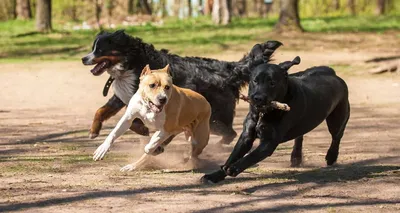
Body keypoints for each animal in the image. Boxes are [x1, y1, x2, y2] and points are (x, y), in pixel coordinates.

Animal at [81, 29, 282, 145]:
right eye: (93, 48)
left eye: (100, 50)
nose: (84, 58)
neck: (131, 62)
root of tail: (227, 68)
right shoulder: (123, 96)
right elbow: (101, 110)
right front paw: (93, 131)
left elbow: (134, 122)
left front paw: (142, 129)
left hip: (214, 115)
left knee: (230, 133)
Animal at [202, 54, 348, 182]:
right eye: (255, 80)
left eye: (272, 83)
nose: (257, 98)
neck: (263, 114)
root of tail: (332, 73)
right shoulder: (246, 135)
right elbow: (233, 156)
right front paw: (214, 175)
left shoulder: (269, 142)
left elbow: (250, 157)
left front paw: (233, 168)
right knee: (300, 136)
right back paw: (296, 157)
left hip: (338, 118)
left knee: (336, 137)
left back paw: (331, 156)